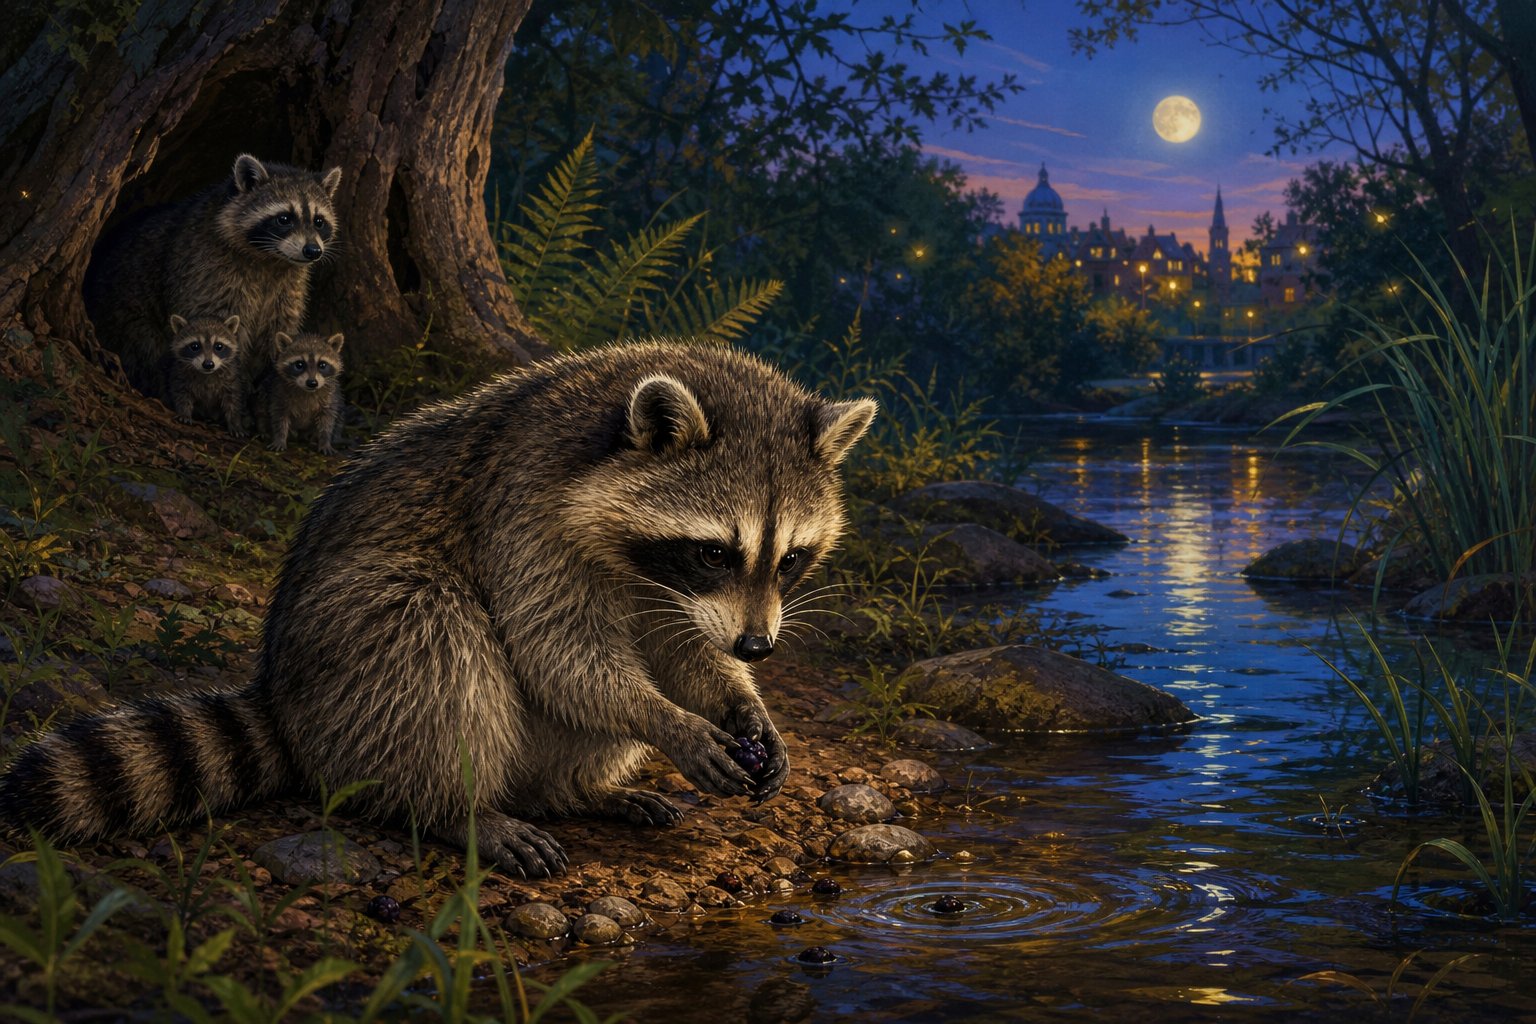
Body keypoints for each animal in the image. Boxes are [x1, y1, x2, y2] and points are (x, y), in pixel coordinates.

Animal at [0, 342, 876, 878]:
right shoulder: (524, 510)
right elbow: (560, 656)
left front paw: (740, 703)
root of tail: (286, 702)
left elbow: (681, 650)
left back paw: (575, 790)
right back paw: (455, 809)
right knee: (431, 641)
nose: (760, 649)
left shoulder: (672, 592)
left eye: (791, 559)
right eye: (714, 552)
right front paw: (670, 720)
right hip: (352, 642)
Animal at [84, 154, 342, 393]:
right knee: (145, 347)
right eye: (284, 219)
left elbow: (279, 329)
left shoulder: (288, 287)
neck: (272, 260)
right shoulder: (206, 271)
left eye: (319, 221)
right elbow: (217, 325)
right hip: (125, 321)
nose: (313, 251)